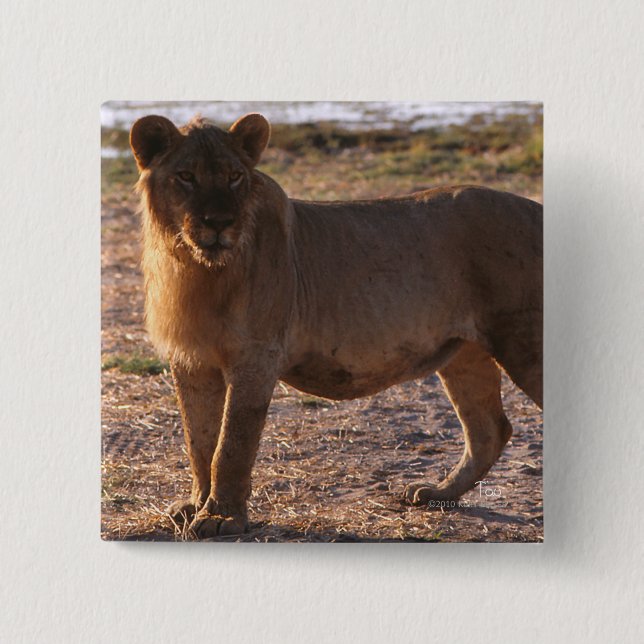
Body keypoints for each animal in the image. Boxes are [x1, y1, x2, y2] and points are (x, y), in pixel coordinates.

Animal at [129, 112, 543, 537]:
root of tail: (537, 209)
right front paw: (196, 505)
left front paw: (221, 517)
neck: (198, 269)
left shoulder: (257, 356)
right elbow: (199, 440)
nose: (219, 223)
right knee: (489, 429)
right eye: (186, 176)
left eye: (234, 176)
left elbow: (231, 445)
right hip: (464, 354)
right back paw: (438, 492)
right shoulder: (192, 359)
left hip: (525, 343)